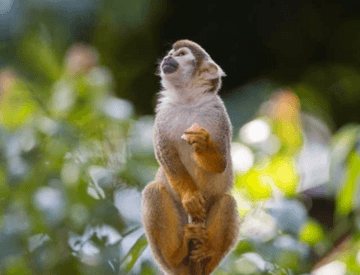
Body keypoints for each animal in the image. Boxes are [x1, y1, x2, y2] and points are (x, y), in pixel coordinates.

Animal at [141, 40, 239, 275]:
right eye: (170, 53)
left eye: (181, 55)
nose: (167, 58)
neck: (188, 100)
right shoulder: (162, 114)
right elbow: (166, 156)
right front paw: (190, 196)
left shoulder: (218, 113)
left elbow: (221, 162)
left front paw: (202, 145)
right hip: (165, 253)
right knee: (153, 191)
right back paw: (177, 253)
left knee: (227, 201)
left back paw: (208, 254)